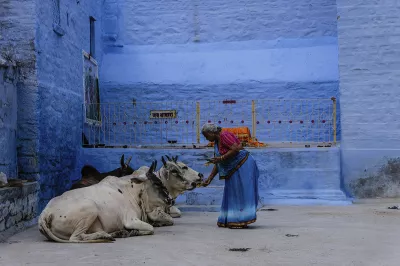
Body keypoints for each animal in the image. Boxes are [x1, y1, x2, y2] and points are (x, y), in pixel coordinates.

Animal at [38, 160, 173, 243]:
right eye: (157, 183)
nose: (170, 199)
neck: (132, 192)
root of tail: (45, 213)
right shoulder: (130, 220)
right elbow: (150, 228)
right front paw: (133, 232)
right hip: (90, 207)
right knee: (75, 238)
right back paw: (104, 235)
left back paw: (116, 233)